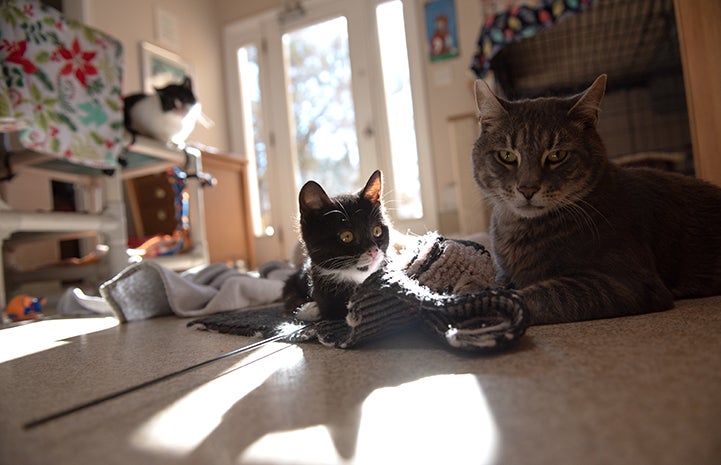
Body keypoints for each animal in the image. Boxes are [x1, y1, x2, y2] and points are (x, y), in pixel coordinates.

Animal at [470, 75, 720, 322]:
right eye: (507, 156)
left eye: (557, 155)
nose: (527, 188)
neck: (518, 229)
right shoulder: (504, 272)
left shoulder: (628, 283)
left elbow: (541, 296)